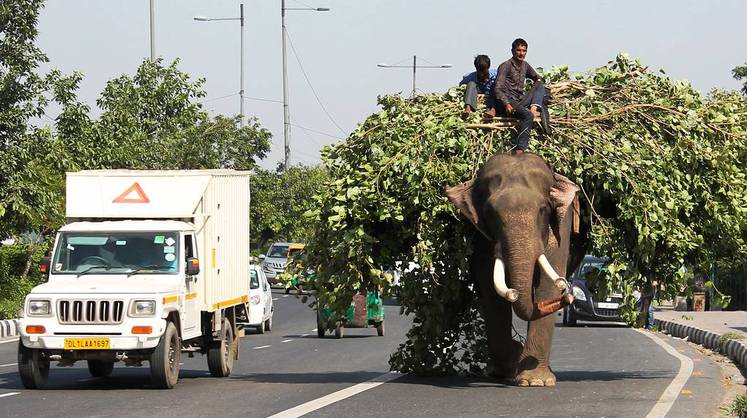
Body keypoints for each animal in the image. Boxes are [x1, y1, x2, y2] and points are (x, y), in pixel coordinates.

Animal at [448, 152, 588, 386]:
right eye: (491, 213)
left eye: (543, 210)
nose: (568, 296)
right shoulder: (480, 233)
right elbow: (489, 285)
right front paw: (513, 367)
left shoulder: (562, 223)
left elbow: (548, 282)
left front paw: (535, 382)